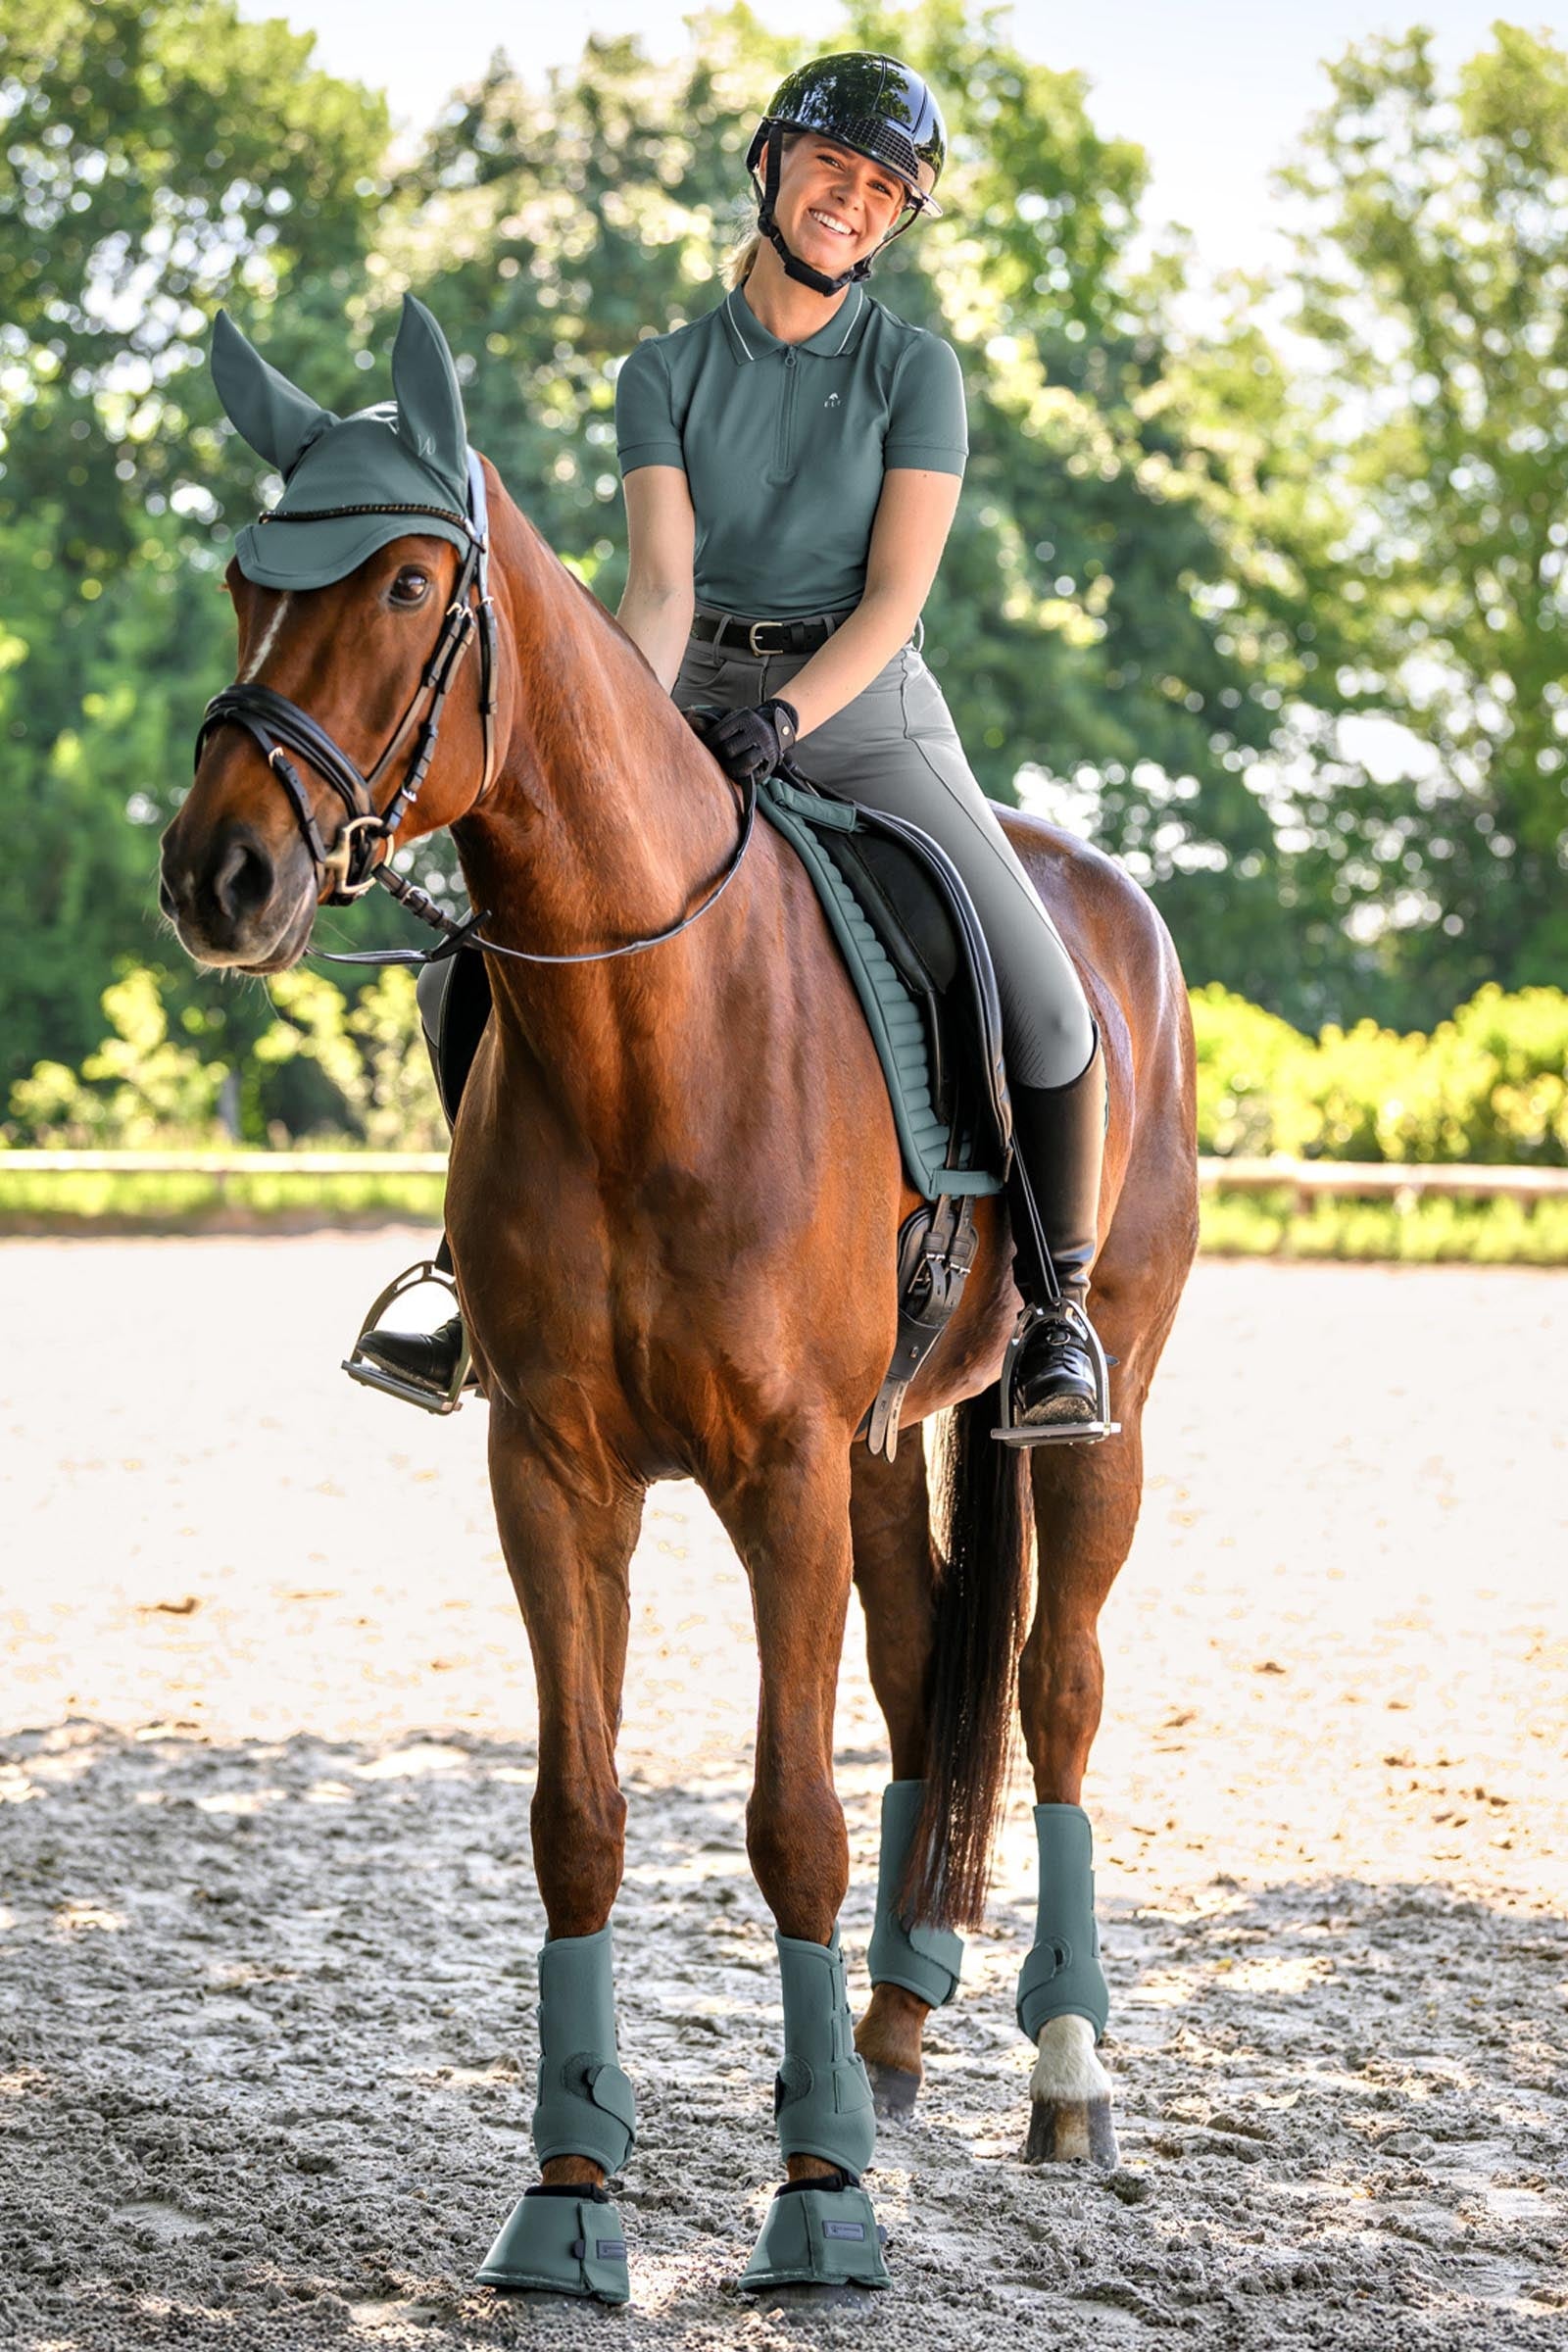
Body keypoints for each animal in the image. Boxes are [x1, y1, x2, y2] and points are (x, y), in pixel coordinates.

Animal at [159, 296, 1198, 2300]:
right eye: (249, 579)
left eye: (410, 582)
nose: (218, 876)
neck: (658, 1033)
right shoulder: (556, 1471)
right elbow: (578, 1818)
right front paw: (570, 2199)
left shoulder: (777, 1469)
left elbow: (789, 1821)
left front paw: (818, 2207)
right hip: (875, 1447)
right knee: (923, 1657)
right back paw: (891, 2034)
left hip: (1095, 1401)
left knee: (1056, 1685)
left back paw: (1063, 2071)